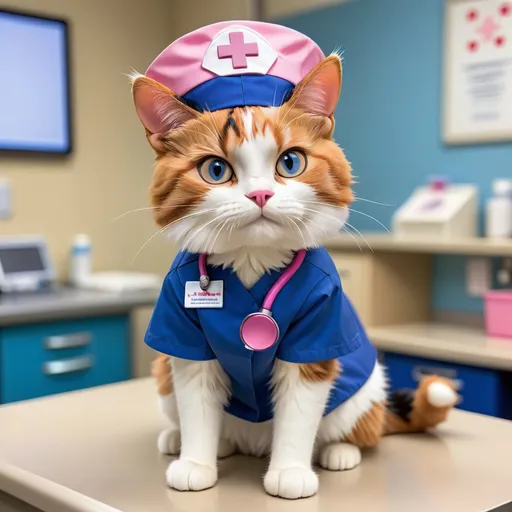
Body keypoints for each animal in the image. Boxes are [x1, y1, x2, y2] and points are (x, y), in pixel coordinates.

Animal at [131, 21, 456, 500]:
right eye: (215, 170)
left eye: (290, 162)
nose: (261, 194)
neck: (252, 261)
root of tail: (251, 444)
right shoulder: (184, 340)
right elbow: (197, 408)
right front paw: (195, 464)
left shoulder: (317, 338)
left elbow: (299, 417)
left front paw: (289, 472)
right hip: (162, 375)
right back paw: (193, 441)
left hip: (364, 388)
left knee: (359, 429)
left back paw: (339, 452)